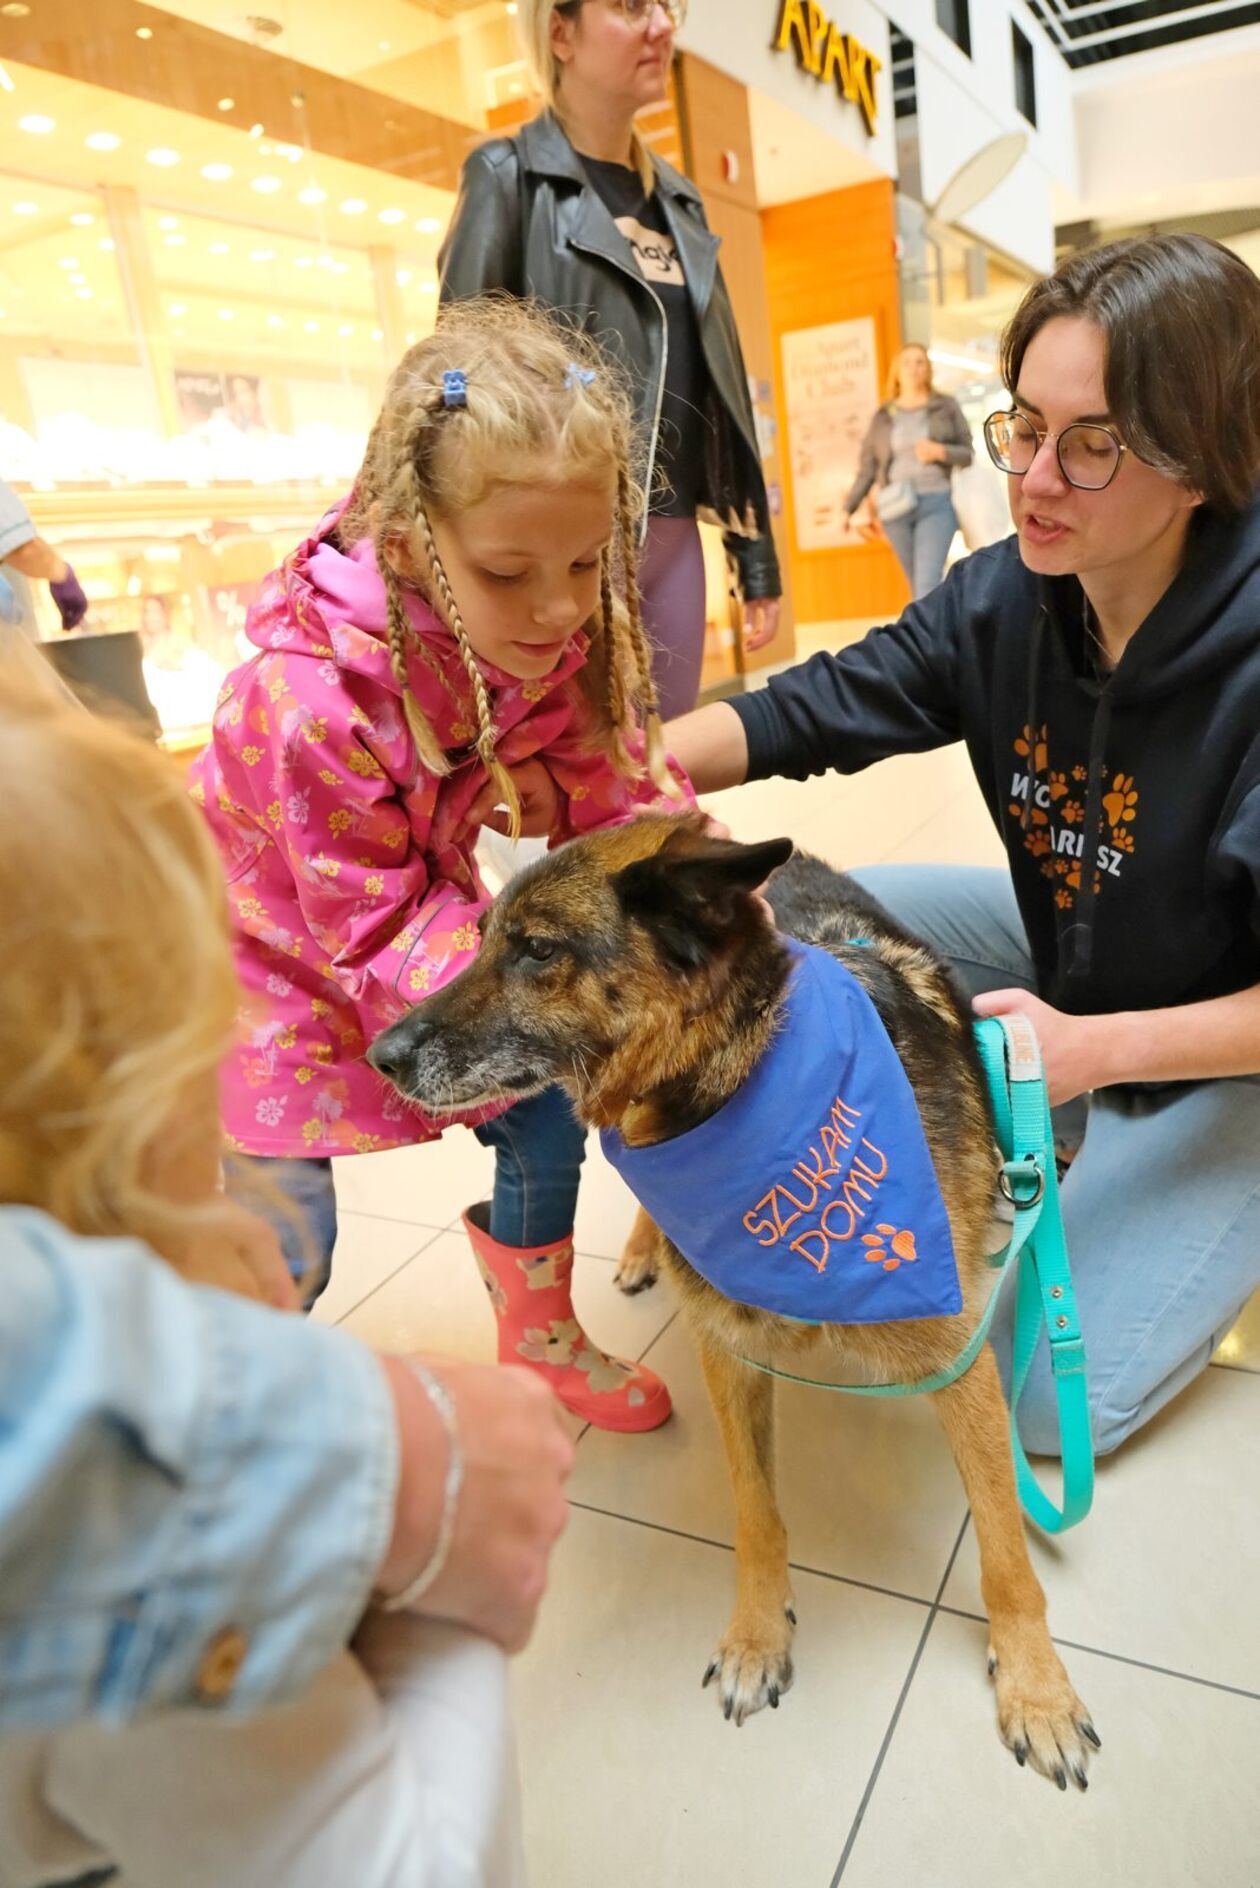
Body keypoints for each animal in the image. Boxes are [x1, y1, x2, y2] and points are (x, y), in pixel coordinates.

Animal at [370, 811, 1095, 1782]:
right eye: (479, 938)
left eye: (536, 949)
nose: (380, 1055)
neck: (737, 1091)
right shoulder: (730, 1352)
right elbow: (755, 1510)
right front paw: (757, 1638)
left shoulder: (959, 1364)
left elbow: (1005, 1544)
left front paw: (1035, 1686)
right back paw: (645, 1247)